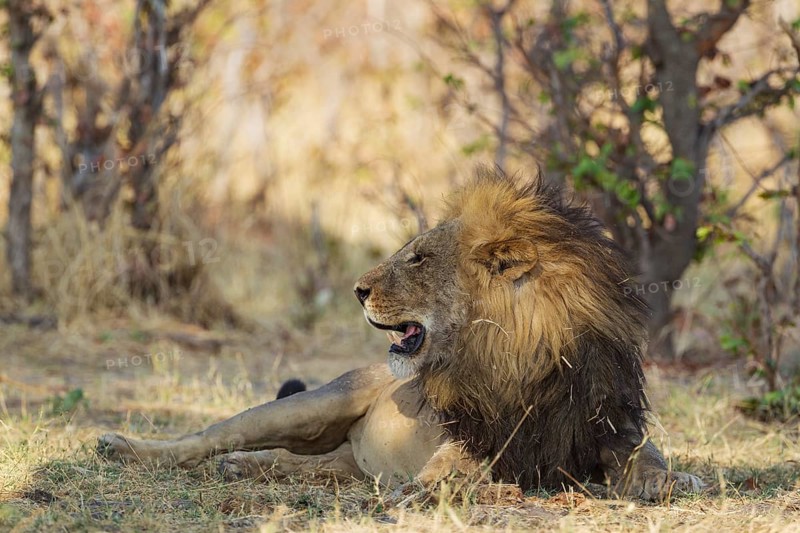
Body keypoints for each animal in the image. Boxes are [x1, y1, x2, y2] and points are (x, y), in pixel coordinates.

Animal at [97, 168, 703, 501]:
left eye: (418, 259)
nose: (357, 289)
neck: (524, 357)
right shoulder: (472, 437)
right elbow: (456, 468)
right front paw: (448, 486)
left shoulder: (608, 425)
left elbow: (647, 456)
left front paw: (668, 482)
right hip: (311, 405)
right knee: (209, 436)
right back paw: (125, 448)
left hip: (344, 461)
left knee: (310, 465)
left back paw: (248, 468)